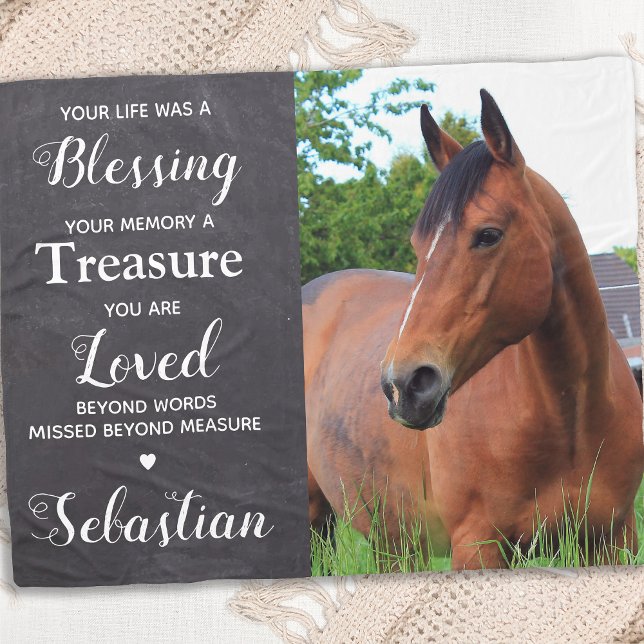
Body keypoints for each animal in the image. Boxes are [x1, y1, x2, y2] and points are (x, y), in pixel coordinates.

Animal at [304, 89, 644, 569]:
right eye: (418, 245)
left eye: (488, 235)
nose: (403, 385)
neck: (568, 418)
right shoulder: (477, 546)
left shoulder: (614, 539)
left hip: (394, 542)